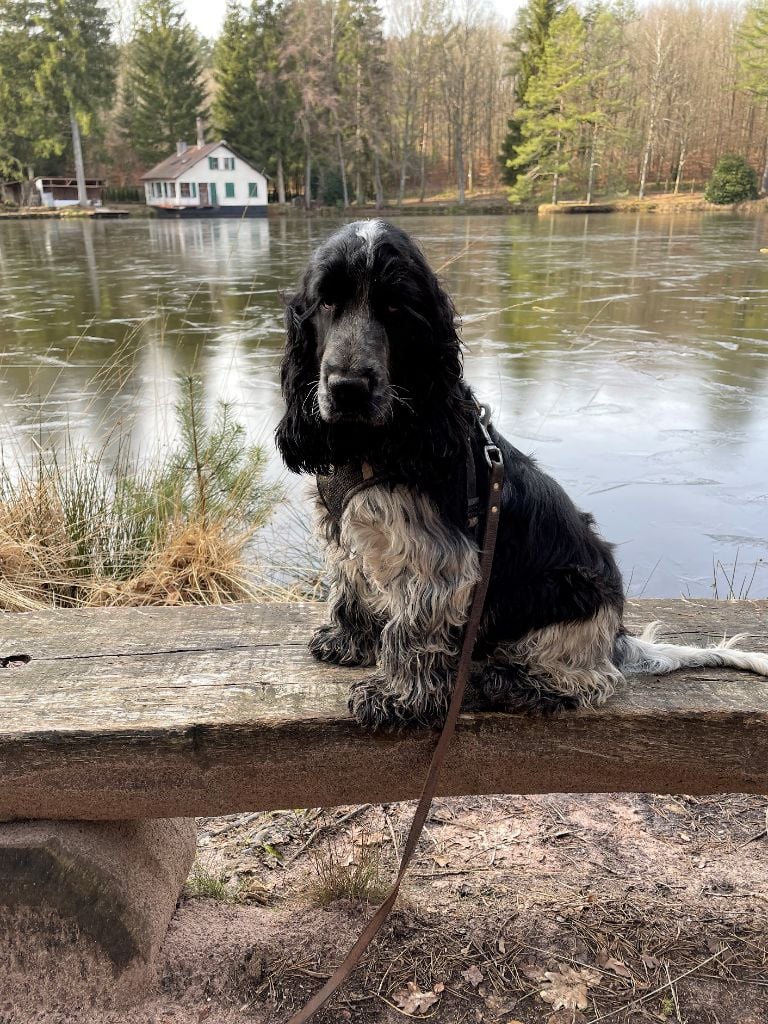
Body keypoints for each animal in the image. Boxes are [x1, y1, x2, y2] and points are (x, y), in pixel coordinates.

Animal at [276, 220, 768, 730]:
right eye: (327, 302)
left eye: (394, 307)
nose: (348, 388)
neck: (372, 443)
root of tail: (617, 639)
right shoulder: (345, 531)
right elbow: (349, 584)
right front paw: (348, 640)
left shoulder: (438, 561)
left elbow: (410, 632)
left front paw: (398, 698)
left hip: (566, 593)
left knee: (593, 678)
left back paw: (513, 681)